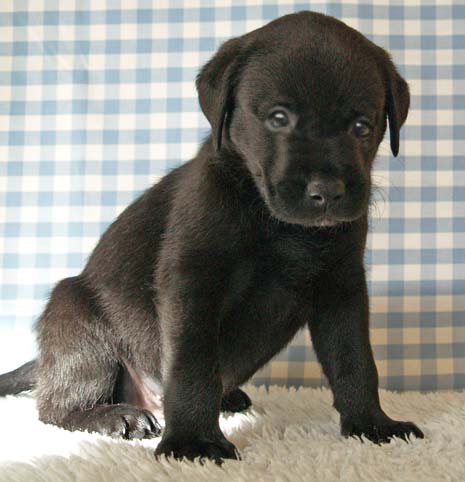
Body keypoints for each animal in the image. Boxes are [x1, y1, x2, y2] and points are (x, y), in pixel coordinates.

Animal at [0, 11, 422, 464]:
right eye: (278, 118)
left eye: (362, 126)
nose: (326, 191)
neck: (279, 226)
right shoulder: (194, 281)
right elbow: (192, 365)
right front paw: (193, 441)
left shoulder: (341, 287)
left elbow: (355, 361)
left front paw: (371, 424)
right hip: (79, 323)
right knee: (54, 406)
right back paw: (112, 416)